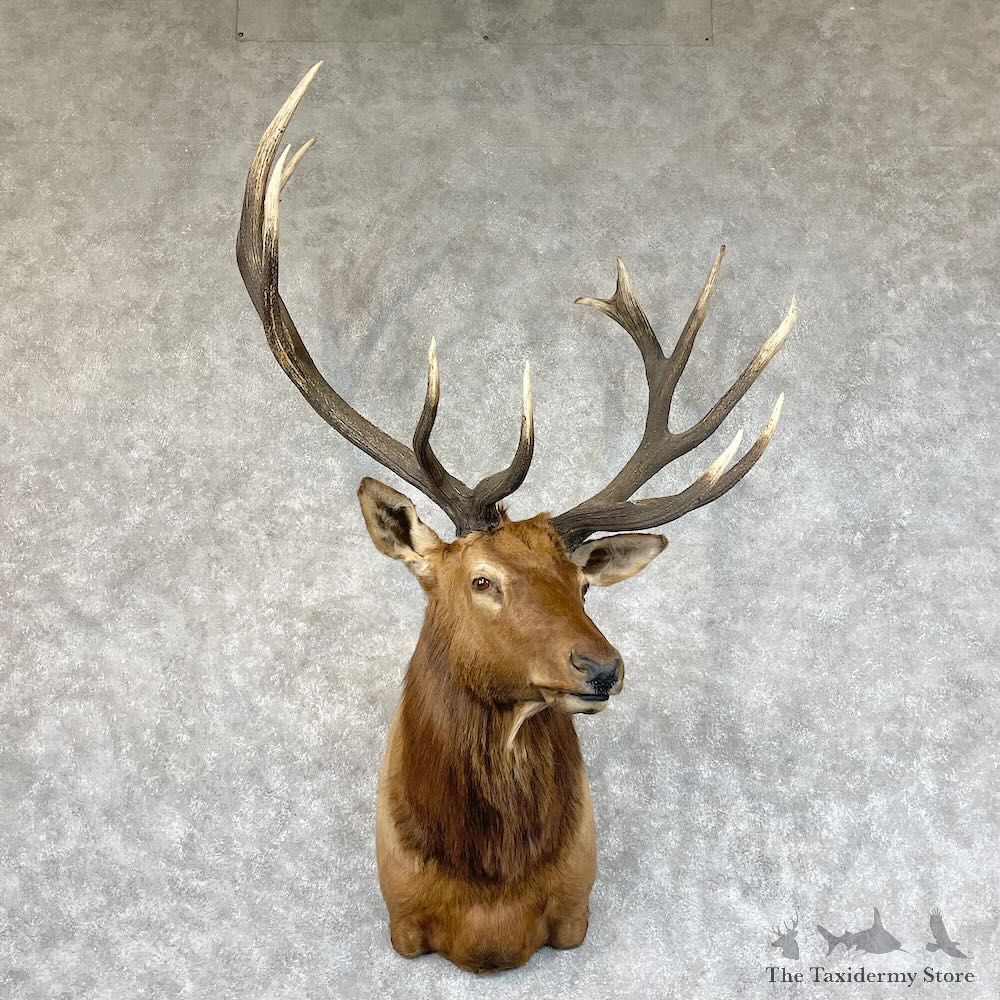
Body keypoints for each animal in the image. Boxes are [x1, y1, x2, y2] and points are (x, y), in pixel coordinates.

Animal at [236, 63, 797, 974]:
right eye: (482, 580)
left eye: (583, 582)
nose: (602, 667)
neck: (490, 905)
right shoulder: (401, 917)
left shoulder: (574, 908)